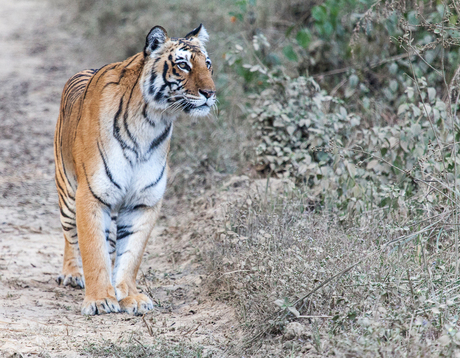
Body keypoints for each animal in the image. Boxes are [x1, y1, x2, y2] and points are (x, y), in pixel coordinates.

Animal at [54, 24, 217, 316]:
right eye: (183, 65)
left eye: (207, 64)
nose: (210, 93)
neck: (153, 121)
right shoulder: (91, 195)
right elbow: (92, 249)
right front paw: (99, 300)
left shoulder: (143, 201)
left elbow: (131, 254)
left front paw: (129, 296)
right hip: (67, 193)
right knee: (70, 234)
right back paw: (72, 274)